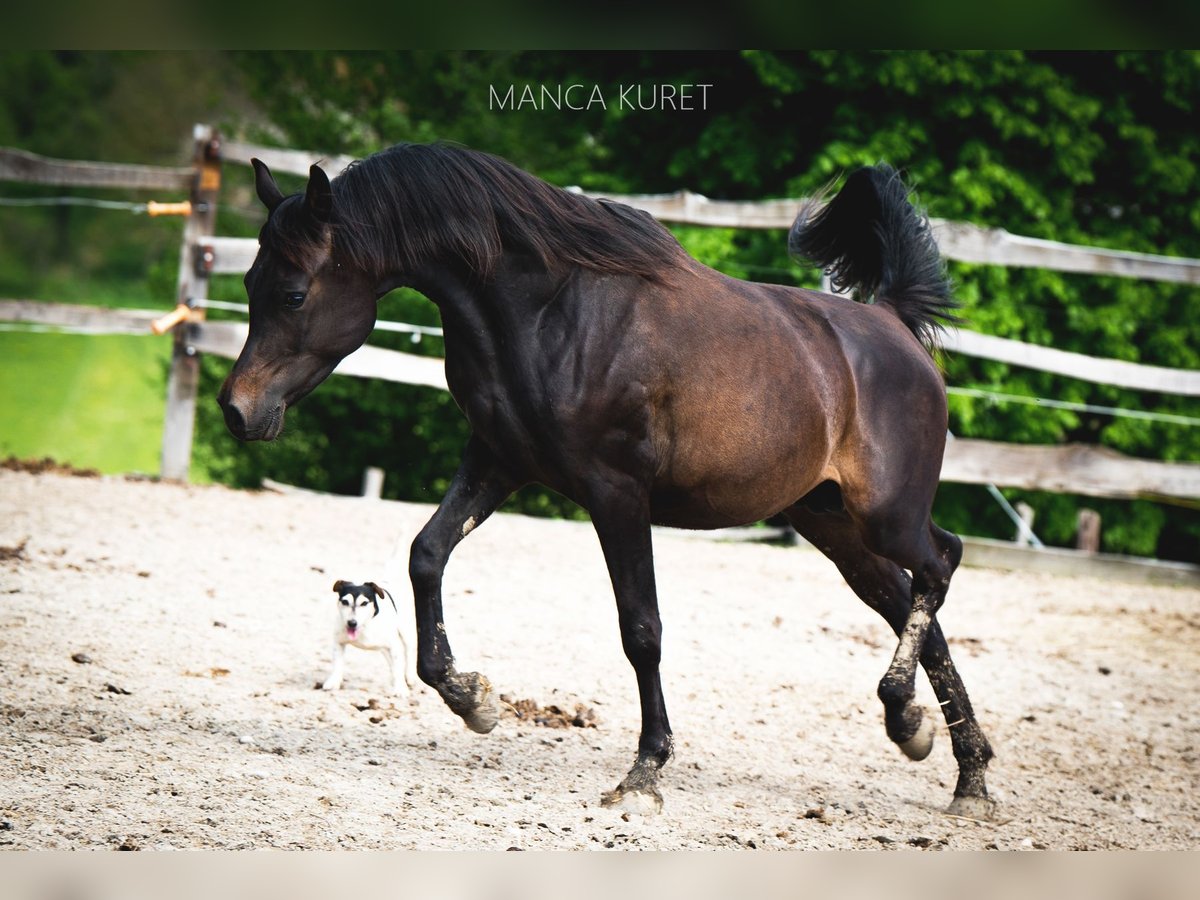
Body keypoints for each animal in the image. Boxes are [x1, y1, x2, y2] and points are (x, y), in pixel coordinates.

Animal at [220, 142, 998, 825]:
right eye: (249, 285)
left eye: (294, 293)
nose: (236, 410)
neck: (549, 312)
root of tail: (894, 325)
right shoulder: (497, 460)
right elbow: (425, 555)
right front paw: (473, 699)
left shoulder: (617, 492)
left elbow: (641, 629)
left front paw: (644, 774)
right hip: (830, 522)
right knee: (909, 607)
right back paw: (951, 760)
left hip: (885, 513)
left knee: (943, 563)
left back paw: (915, 719)